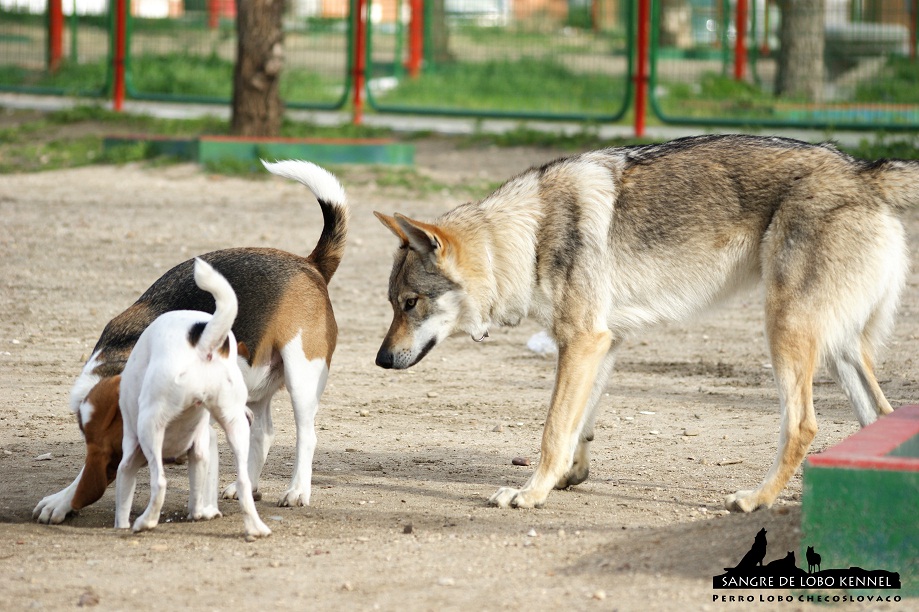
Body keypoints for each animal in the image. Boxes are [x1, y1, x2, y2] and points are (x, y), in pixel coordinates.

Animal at [114, 260, 270, 540]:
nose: (250, 415)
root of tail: (203, 343)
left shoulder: (129, 458)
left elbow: (122, 503)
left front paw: (122, 525)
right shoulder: (199, 453)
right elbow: (198, 494)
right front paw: (201, 514)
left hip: (150, 426)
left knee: (159, 482)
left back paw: (145, 522)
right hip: (235, 427)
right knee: (243, 482)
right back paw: (255, 528)